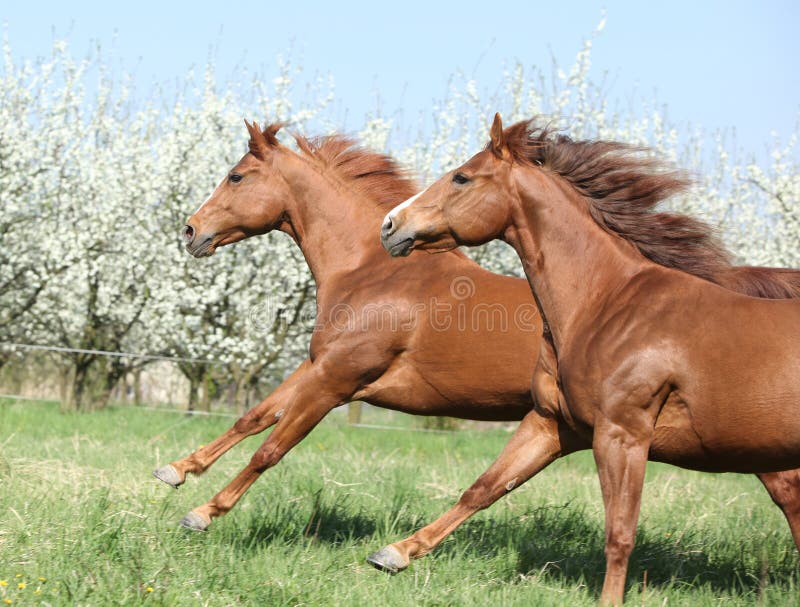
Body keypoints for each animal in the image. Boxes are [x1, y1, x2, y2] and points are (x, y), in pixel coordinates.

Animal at [380, 114, 800, 604]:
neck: (605, 304)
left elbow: (619, 532)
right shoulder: (552, 423)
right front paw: (393, 554)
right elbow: (483, 488)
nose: (390, 225)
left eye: (461, 177)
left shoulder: (622, 435)